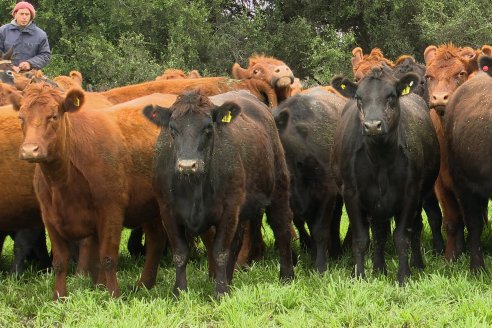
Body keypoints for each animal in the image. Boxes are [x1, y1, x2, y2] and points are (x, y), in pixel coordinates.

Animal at [11, 85, 173, 300]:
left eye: (53, 116)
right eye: (21, 117)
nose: (30, 150)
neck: (62, 181)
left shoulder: (111, 211)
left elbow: (107, 257)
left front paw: (113, 295)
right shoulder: (49, 217)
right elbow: (60, 262)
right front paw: (58, 297)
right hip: (149, 207)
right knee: (156, 240)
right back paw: (143, 284)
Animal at [144, 89, 294, 298]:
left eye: (208, 127)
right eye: (172, 129)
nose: (187, 165)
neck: (195, 187)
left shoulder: (229, 210)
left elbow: (220, 252)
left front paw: (220, 292)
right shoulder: (167, 211)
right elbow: (180, 253)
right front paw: (179, 292)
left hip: (279, 189)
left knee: (282, 230)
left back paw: (287, 276)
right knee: (238, 242)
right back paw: (229, 280)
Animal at [272, 90, 346, 272]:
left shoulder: (327, 192)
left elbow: (320, 230)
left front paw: (320, 266)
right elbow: (304, 224)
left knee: (335, 221)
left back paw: (336, 251)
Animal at [330, 67, 438, 284]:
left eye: (391, 96)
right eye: (358, 97)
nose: (372, 125)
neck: (380, 159)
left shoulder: (410, 194)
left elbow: (402, 237)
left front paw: (404, 276)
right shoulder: (351, 194)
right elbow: (361, 239)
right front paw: (359, 276)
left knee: (415, 229)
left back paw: (417, 264)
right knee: (379, 233)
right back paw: (379, 269)